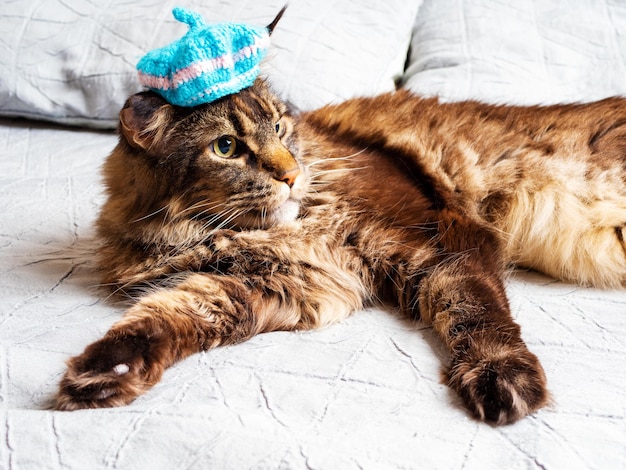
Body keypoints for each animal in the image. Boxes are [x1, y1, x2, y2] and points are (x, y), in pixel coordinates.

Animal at [53, 79, 624, 424]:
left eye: (280, 127)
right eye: (226, 148)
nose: (290, 175)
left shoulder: (441, 245)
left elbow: (473, 313)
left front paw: (503, 378)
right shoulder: (281, 284)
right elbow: (169, 315)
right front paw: (106, 370)